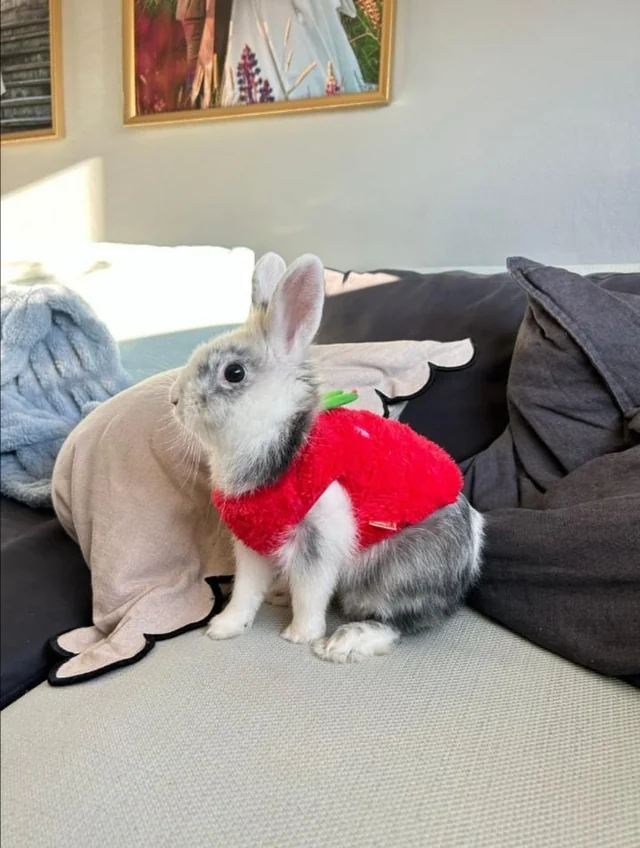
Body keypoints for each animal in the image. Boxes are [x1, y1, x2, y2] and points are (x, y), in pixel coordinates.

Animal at [171, 252, 484, 663]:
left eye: (234, 373)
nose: (174, 399)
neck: (283, 437)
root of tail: (464, 574)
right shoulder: (252, 543)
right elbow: (245, 591)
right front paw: (224, 628)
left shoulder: (321, 537)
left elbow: (311, 591)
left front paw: (300, 635)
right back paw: (280, 595)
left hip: (395, 574)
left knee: (397, 623)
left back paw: (343, 643)